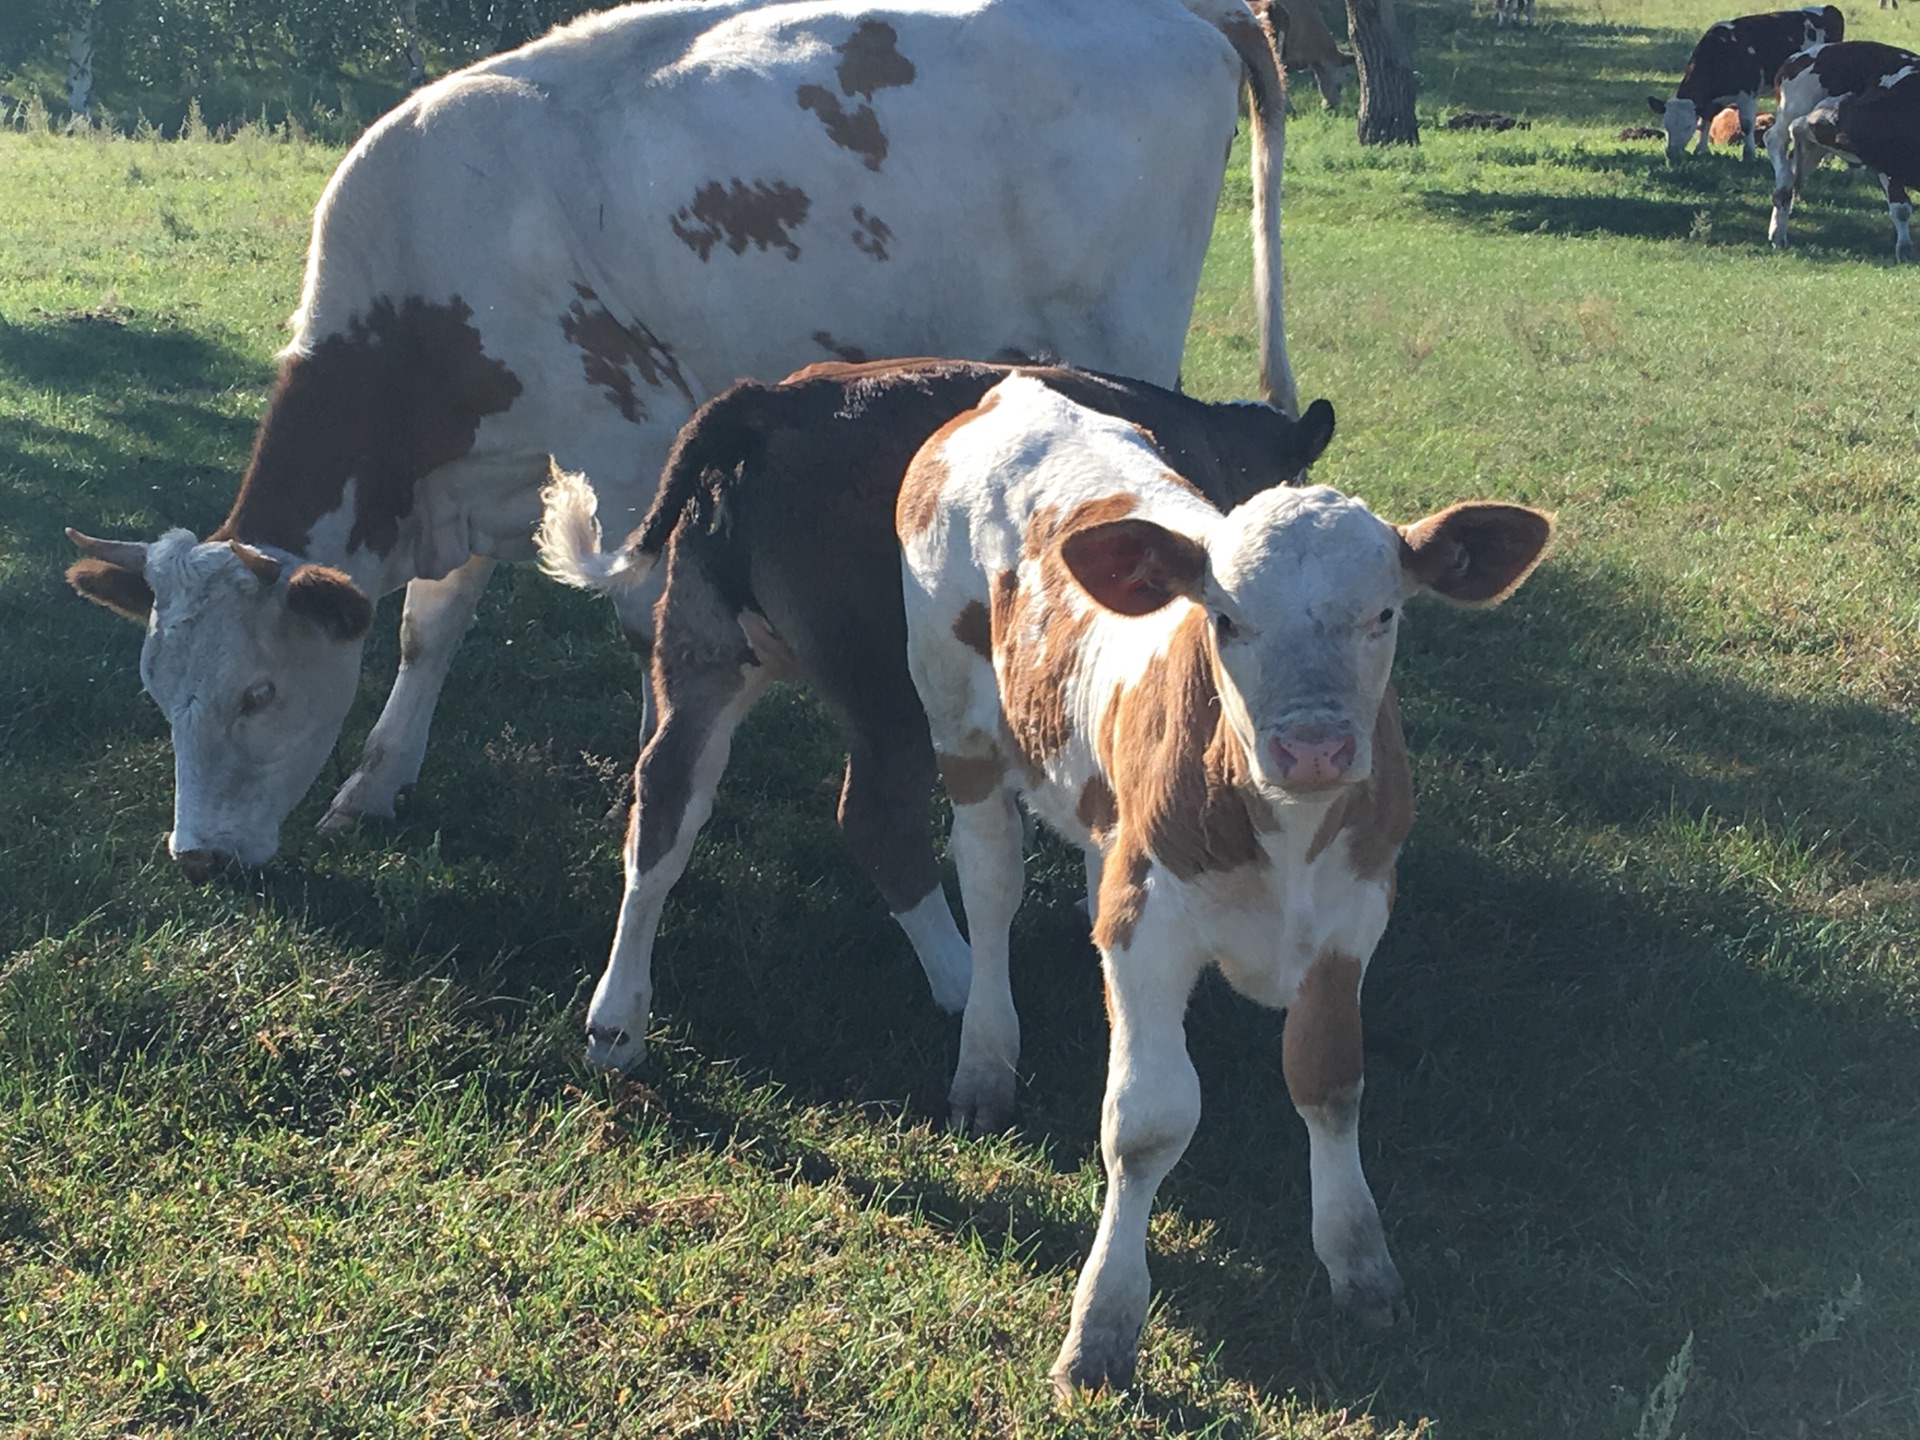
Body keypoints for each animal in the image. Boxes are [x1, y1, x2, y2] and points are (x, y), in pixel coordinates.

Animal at [60, 0, 1297, 887]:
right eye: (158, 694)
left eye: (257, 695)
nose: (198, 859)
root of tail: (1192, 12)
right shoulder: (483, 473)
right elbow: (428, 630)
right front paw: (374, 784)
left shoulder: (628, 448)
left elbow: (640, 626)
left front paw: (648, 788)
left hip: (1122, 340)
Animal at [529, 357, 1336, 1075]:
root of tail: (770, 402)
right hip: (893, 687)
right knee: (874, 817)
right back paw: (958, 978)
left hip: (701, 653)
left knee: (666, 801)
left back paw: (616, 1020)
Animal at [890, 374, 1551, 1397]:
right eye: (1227, 619)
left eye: (1385, 614)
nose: (1314, 746)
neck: (1282, 830)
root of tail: (1011, 388)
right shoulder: (1152, 922)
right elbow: (1146, 1123)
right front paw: (1102, 1325)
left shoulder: (1351, 917)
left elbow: (1330, 1082)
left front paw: (1361, 1265)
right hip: (954, 713)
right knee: (991, 882)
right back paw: (984, 1064)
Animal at [1651, 4, 1843, 160]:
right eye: (1665, 124)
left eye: (1687, 126)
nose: (1671, 153)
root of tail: (1828, 8)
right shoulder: (1710, 100)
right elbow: (1705, 121)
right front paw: (1700, 149)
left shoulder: (1748, 92)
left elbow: (1746, 124)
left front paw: (1749, 155)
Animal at [1766, 38, 1920, 257]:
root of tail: (1796, 60)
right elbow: (1901, 206)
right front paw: (1905, 249)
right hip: (1793, 110)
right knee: (1776, 140)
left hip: (1815, 144)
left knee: (1795, 163)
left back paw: (1778, 231)